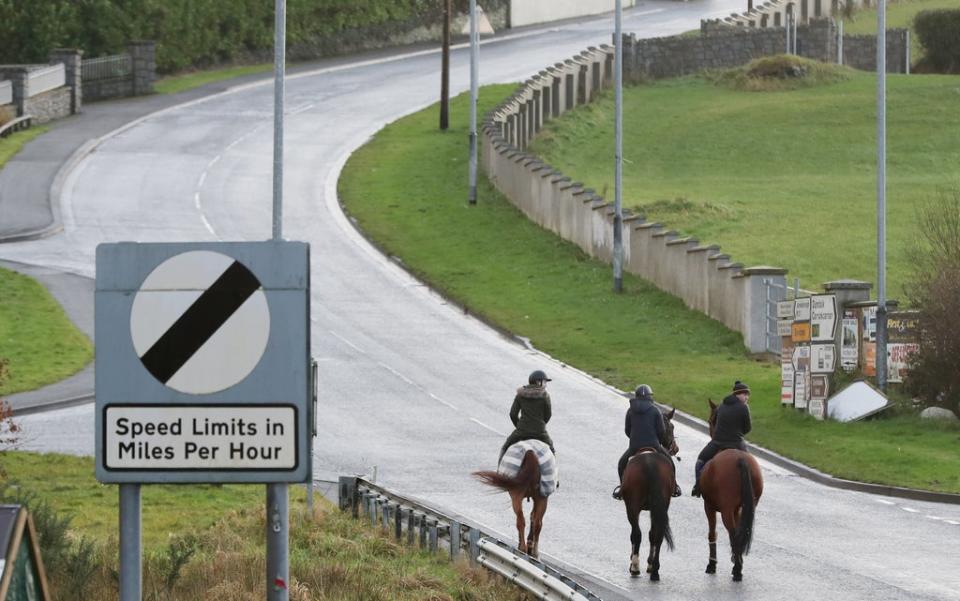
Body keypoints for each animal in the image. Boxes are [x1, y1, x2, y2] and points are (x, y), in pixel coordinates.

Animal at [620, 406, 680, 580]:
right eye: (672, 427)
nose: (675, 449)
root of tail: (649, 465)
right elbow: (653, 534)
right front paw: (650, 563)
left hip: (632, 506)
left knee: (637, 533)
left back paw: (635, 567)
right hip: (661, 505)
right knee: (656, 534)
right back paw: (654, 570)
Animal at [696, 398, 764, 580]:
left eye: (710, 420)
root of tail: (740, 459)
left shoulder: (709, 506)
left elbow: (712, 533)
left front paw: (712, 564)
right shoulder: (738, 509)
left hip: (725, 509)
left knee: (733, 534)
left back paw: (737, 570)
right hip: (749, 505)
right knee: (740, 533)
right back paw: (738, 563)